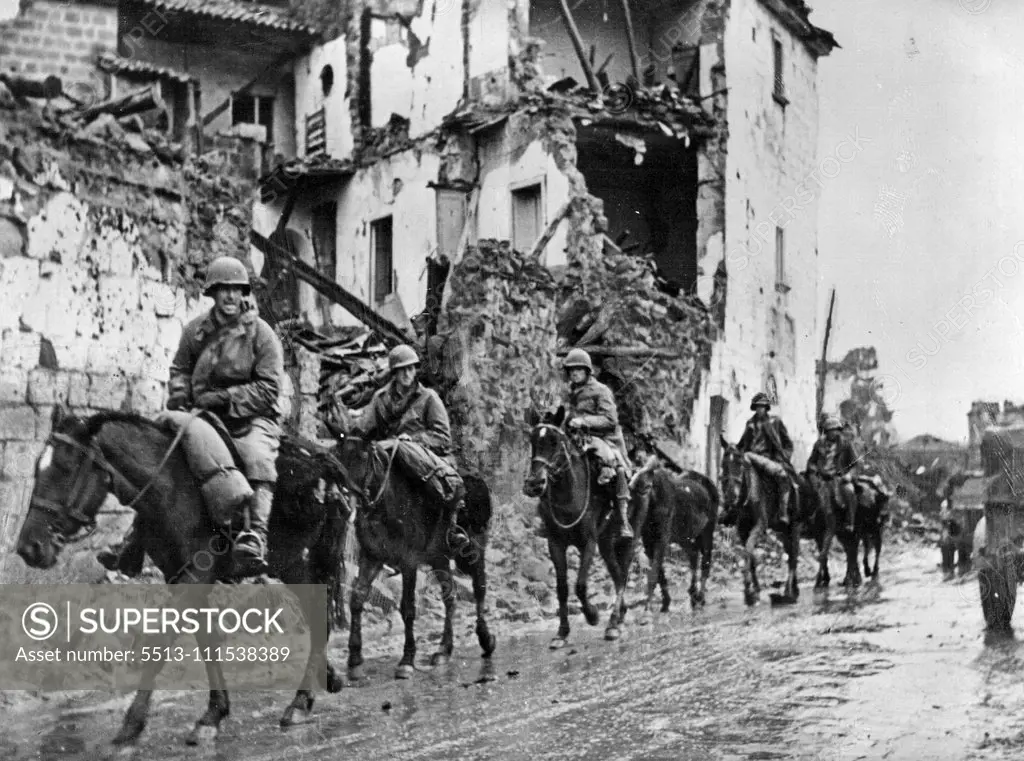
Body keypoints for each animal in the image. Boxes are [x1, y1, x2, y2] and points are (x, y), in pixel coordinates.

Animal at [14, 407, 352, 745]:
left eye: (65, 467)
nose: (29, 547)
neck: (171, 487)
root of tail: (329, 466)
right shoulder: (178, 576)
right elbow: (206, 640)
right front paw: (214, 713)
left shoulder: (196, 575)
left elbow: (161, 640)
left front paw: (132, 723)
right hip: (295, 567)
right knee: (319, 619)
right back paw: (325, 681)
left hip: (303, 563)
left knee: (319, 618)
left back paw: (300, 702)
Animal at [329, 428, 497, 684]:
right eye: (337, 455)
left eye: (362, 456)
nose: (341, 496)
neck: (386, 503)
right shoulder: (371, 557)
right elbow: (356, 600)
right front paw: (355, 660)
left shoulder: (408, 562)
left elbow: (407, 608)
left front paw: (406, 661)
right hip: (439, 558)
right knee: (451, 597)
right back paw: (443, 650)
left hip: (474, 550)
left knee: (479, 588)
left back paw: (485, 638)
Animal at [520, 411, 647, 647]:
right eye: (532, 440)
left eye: (555, 441)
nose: (534, 484)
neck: (569, 495)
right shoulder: (555, 544)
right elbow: (562, 588)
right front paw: (561, 633)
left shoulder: (588, 542)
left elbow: (580, 585)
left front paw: (592, 615)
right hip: (606, 543)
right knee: (617, 575)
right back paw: (619, 617)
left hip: (629, 540)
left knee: (623, 576)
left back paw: (613, 624)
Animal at [630, 460, 720, 614]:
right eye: (630, 488)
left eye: (647, 487)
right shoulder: (648, 542)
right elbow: (659, 574)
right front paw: (665, 603)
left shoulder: (661, 540)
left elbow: (654, 574)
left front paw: (648, 608)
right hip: (684, 538)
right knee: (694, 555)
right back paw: (693, 595)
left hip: (707, 531)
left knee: (706, 562)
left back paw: (700, 598)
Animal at [716, 434, 811, 606]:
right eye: (723, 464)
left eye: (740, 463)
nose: (731, 496)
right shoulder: (742, 529)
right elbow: (750, 554)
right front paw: (755, 591)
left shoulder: (760, 525)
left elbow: (748, 550)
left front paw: (748, 591)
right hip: (782, 531)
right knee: (790, 553)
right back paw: (794, 589)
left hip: (795, 526)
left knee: (793, 556)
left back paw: (789, 592)